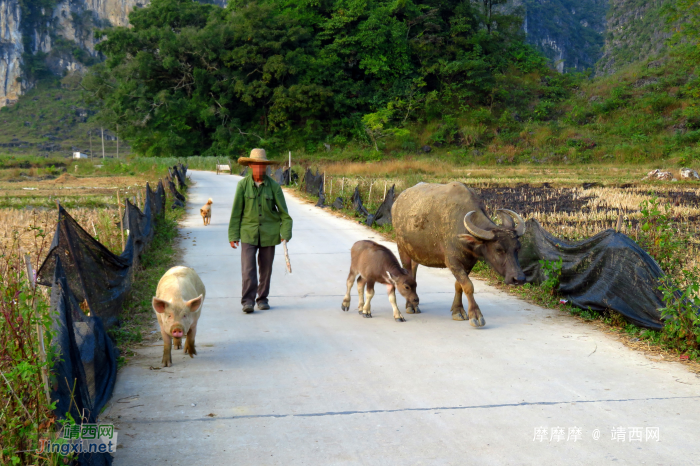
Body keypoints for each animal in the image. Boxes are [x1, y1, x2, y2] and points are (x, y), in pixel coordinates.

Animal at [394, 182, 524, 328]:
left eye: (518, 248)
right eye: (498, 249)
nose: (518, 279)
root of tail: (397, 202)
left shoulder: (468, 263)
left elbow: (459, 285)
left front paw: (458, 311)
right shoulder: (453, 262)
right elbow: (468, 286)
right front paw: (476, 315)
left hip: (416, 251)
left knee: (414, 269)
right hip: (402, 248)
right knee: (407, 271)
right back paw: (411, 305)